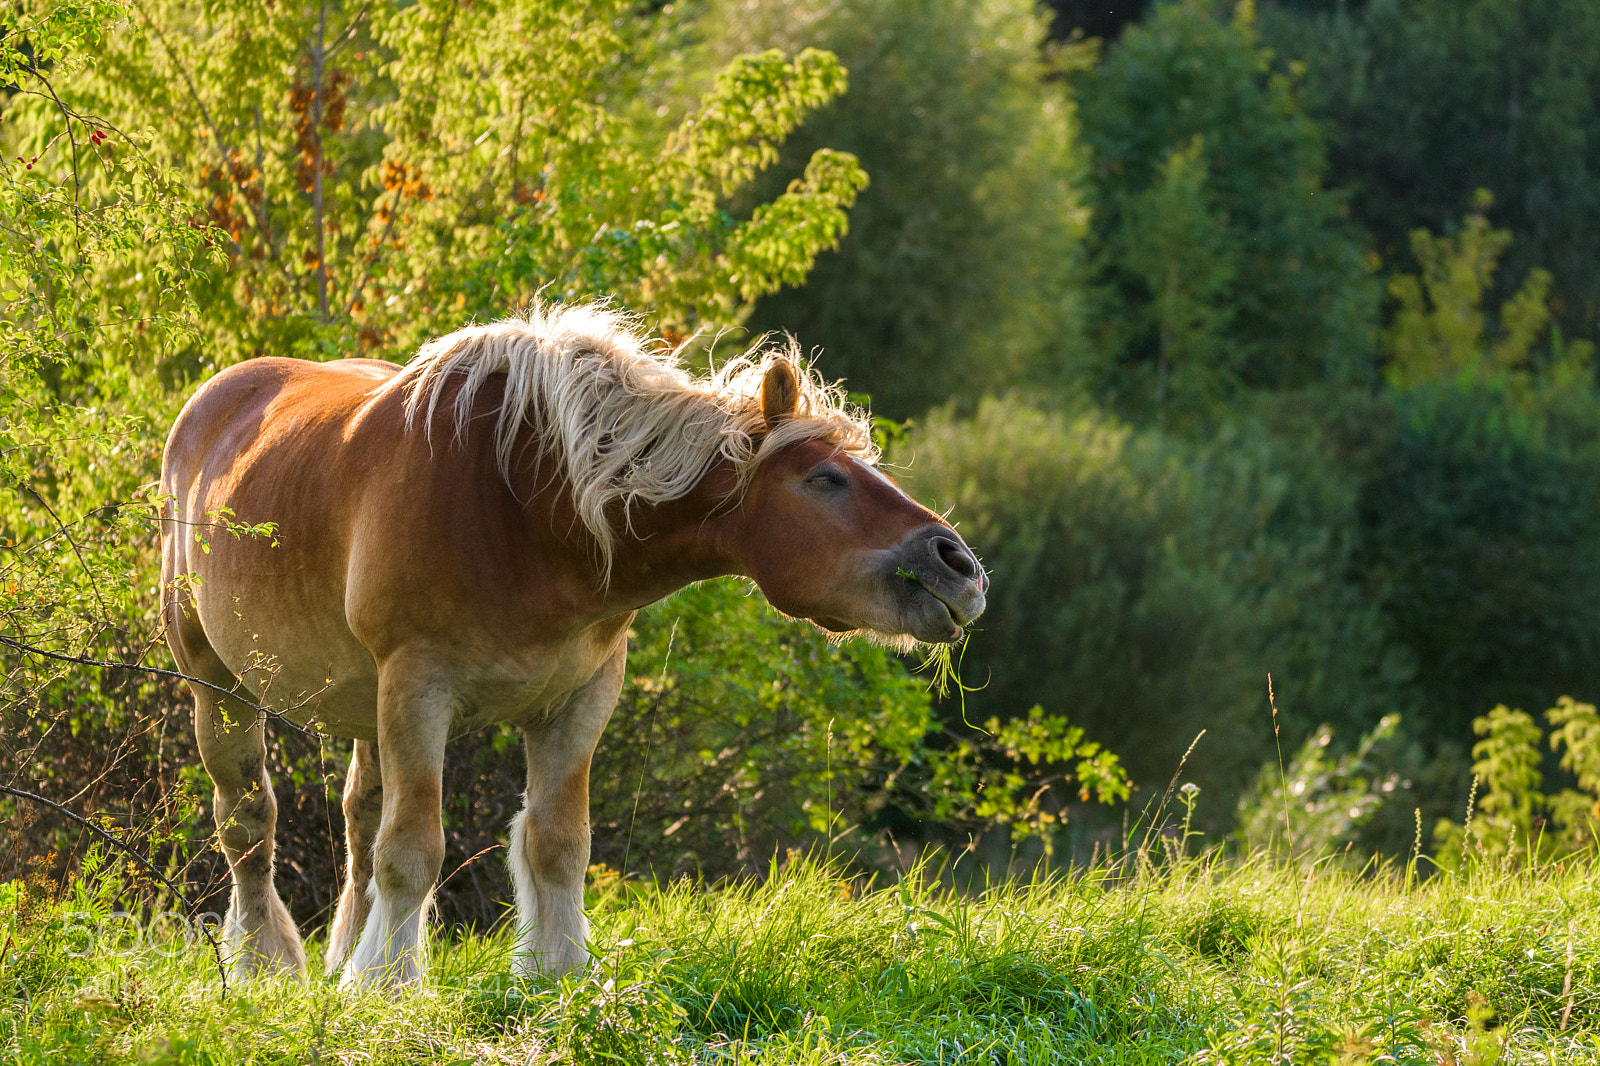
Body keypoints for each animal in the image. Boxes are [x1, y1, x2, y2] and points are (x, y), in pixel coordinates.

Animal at [158, 302, 987, 989]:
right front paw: (388, 983)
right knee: (249, 824)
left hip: (364, 703)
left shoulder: (580, 698)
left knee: (358, 823)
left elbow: (557, 842)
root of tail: (216, 398)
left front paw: (557, 971)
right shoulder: (418, 689)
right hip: (218, 686)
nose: (962, 568)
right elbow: (414, 848)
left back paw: (341, 954)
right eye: (824, 478)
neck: (526, 508)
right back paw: (265, 962)